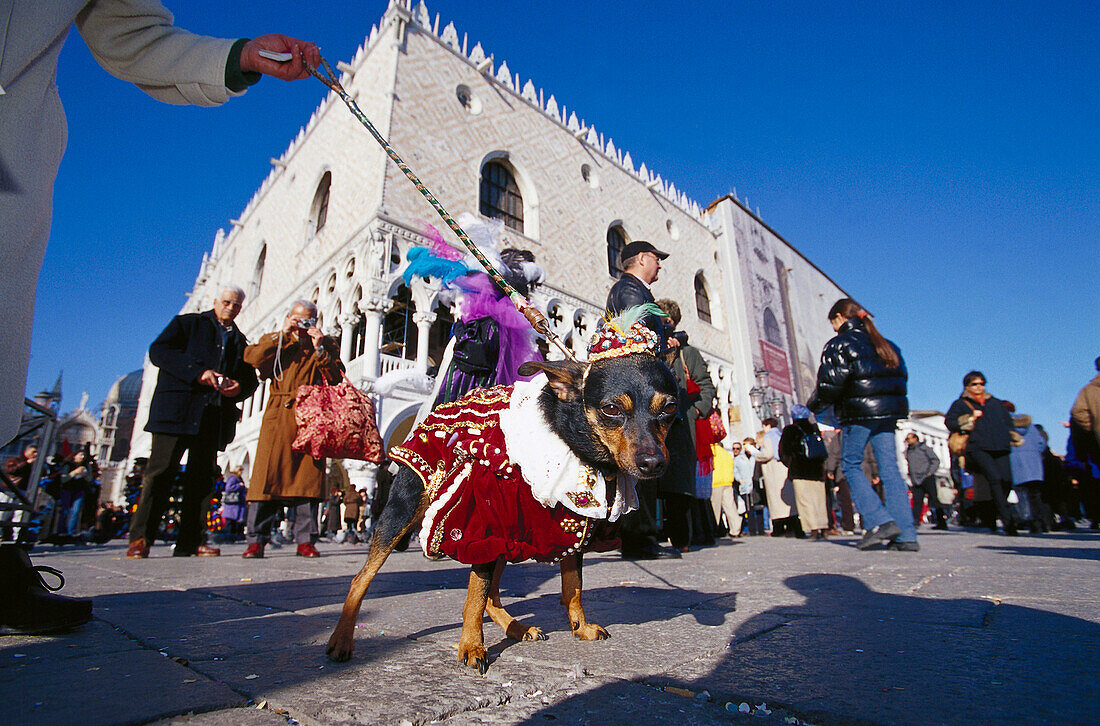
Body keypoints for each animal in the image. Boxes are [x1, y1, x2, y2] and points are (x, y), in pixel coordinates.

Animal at [325, 321, 673, 673]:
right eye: (611, 409)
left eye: (669, 409)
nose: (654, 462)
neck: (576, 446)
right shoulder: (481, 530)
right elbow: (475, 595)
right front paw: (471, 646)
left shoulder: (573, 530)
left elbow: (573, 586)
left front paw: (581, 628)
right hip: (404, 511)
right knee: (361, 579)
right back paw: (341, 640)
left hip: (510, 539)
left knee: (493, 596)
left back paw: (517, 628)